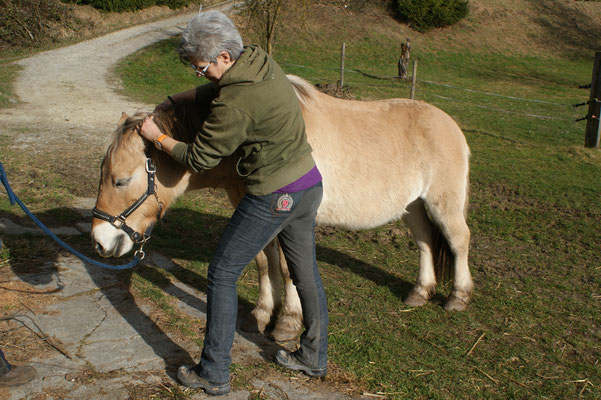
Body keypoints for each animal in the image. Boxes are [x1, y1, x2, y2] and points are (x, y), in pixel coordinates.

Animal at [91, 75, 472, 340]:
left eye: (121, 181)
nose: (99, 241)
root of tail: (449, 123)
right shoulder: (255, 212)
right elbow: (264, 262)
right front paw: (261, 315)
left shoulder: (290, 217)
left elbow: (289, 270)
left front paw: (287, 323)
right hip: (414, 206)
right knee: (425, 243)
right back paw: (420, 292)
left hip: (443, 203)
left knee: (458, 241)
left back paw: (458, 297)